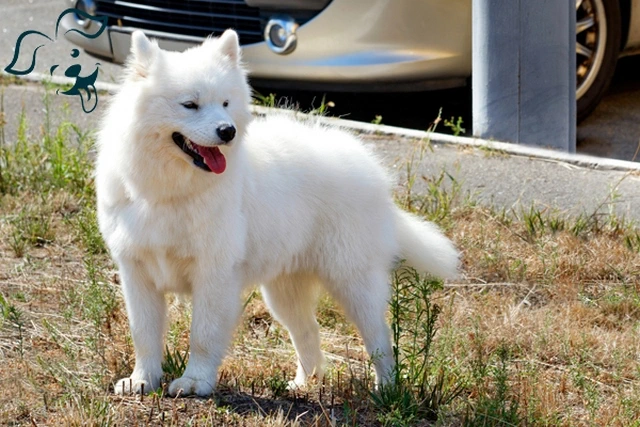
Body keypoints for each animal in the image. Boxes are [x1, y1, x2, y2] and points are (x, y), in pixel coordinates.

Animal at [95, 29, 460, 398]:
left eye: (225, 103)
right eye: (190, 105)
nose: (228, 132)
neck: (169, 192)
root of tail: (370, 168)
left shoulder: (214, 274)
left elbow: (204, 335)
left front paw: (195, 382)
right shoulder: (137, 272)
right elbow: (144, 334)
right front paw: (142, 380)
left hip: (353, 282)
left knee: (380, 338)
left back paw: (386, 390)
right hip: (285, 291)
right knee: (309, 333)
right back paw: (304, 384)